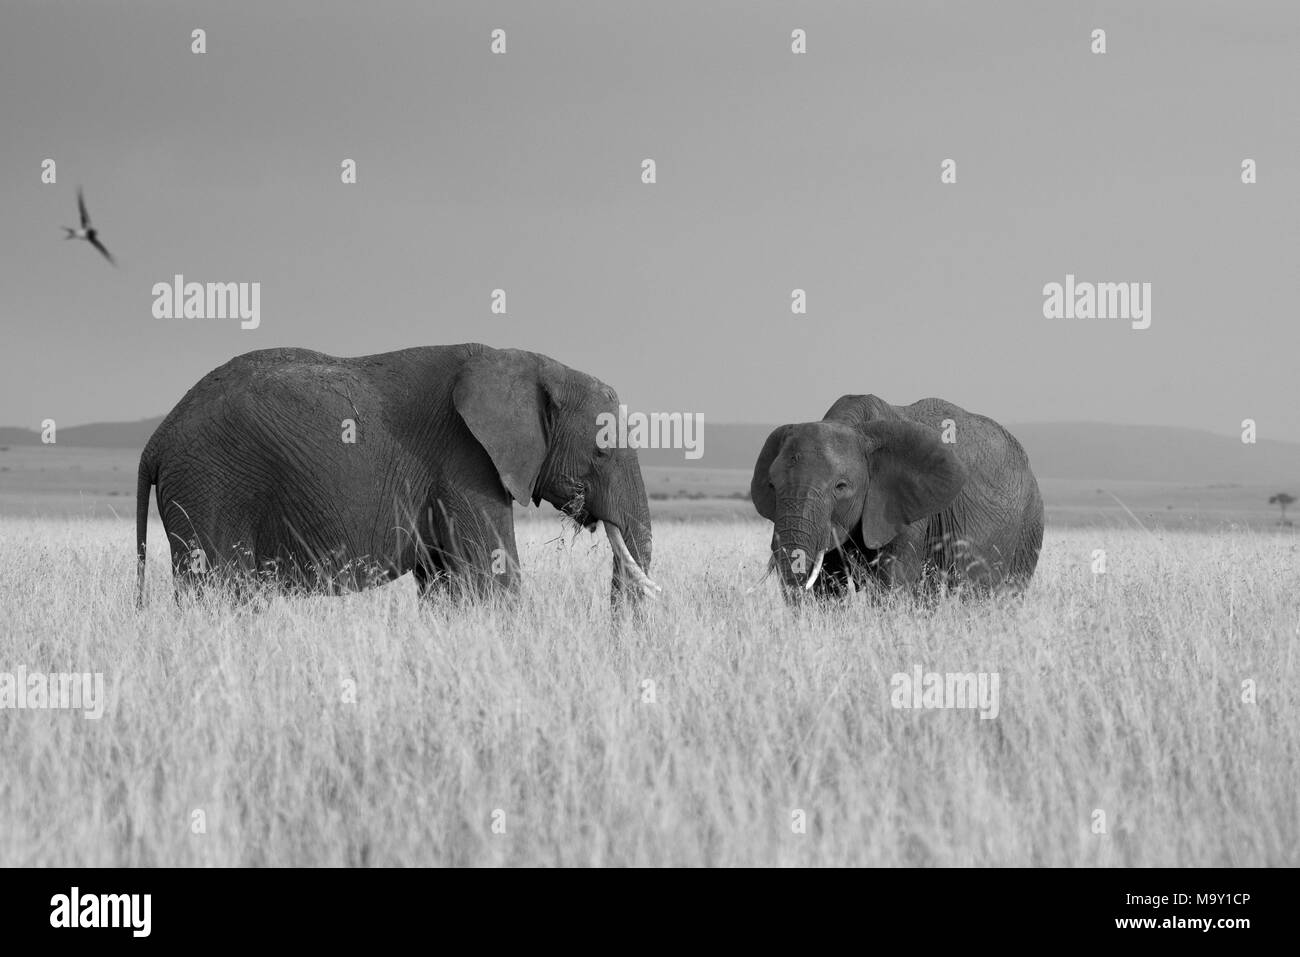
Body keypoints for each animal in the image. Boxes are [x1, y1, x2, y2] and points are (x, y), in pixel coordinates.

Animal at [137, 348, 655, 605]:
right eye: (603, 450)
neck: (537, 365)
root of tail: (155, 441)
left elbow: (445, 584)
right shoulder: (465, 461)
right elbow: (493, 577)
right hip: (209, 487)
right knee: (220, 590)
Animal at [754, 392, 1045, 600]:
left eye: (840, 486)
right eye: (772, 485)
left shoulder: (905, 507)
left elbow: (892, 582)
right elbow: (826, 584)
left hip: (1028, 526)